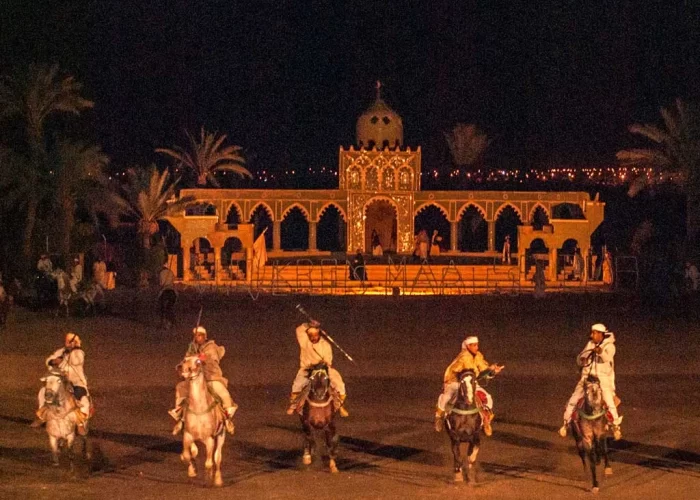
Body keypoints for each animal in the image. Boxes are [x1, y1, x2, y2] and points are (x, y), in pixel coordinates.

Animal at [178, 354, 227, 486]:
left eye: (198, 361)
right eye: (184, 359)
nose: (182, 368)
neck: (199, 409)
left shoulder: (210, 439)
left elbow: (210, 462)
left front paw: (208, 478)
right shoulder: (187, 435)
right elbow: (186, 455)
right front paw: (192, 471)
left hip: (221, 435)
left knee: (218, 457)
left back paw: (218, 479)